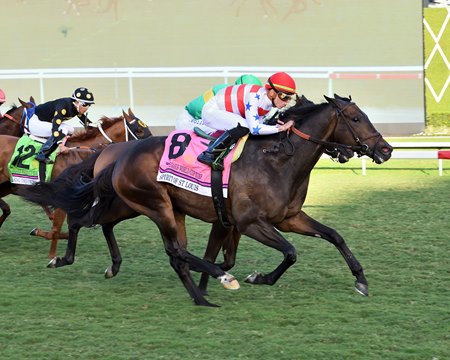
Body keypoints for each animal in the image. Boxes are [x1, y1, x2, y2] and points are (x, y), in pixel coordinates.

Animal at [0, 108, 151, 258]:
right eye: (139, 130)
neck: (80, 153)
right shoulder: (60, 196)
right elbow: (56, 228)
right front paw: (52, 256)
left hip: (7, 185)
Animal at [21, 93, 392, 306]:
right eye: (356, 118)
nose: (386, 149)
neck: (277, 159)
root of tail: (119, 152)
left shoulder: (287, 218)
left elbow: (334, 235)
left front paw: (360, 280)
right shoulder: (250, 222)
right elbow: (289, 252)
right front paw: (258, 278)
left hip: (135, 204)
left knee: (98, 223)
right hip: (157, 206)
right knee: (172, 249)